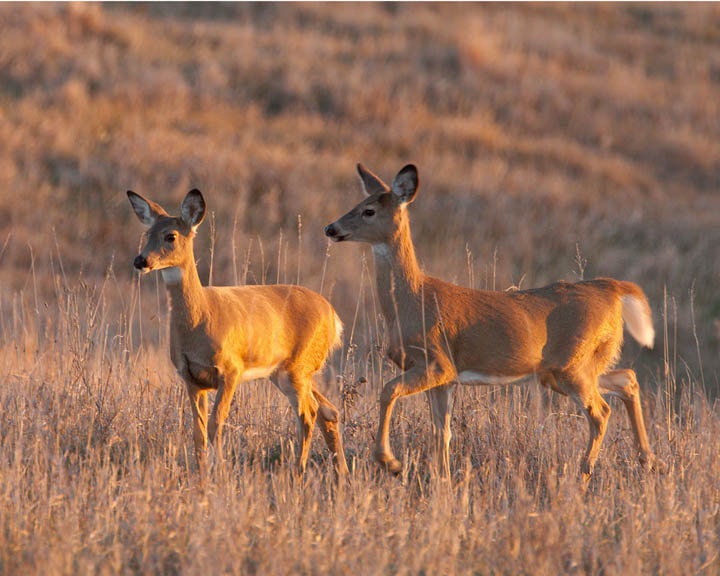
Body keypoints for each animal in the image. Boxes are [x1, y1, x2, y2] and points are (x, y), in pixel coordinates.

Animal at [129, 188, 348, 476]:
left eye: (171, 236)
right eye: (146, 234)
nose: (140, 260)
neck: (200, 320)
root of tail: (333, 316)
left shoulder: (230, 370)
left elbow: (216, 423)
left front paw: (220, 471)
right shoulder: (189, 377)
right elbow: (198, 431)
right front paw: (202, 475)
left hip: (297, 368)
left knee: (308, 414)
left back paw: (298, 472)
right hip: (289, 372)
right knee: (328, 410)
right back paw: (342, 474)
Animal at [326, 163, 660, 482]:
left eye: (369, 210)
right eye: (358, 203)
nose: (331, 228)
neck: (413, 300)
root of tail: (613, 288)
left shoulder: (437, 362)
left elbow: (388, 391)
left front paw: (390, 462)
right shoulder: (445, 379)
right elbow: (442, 432)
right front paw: (443, 481)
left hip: (571, 365)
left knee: (600, 411)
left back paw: (584, 472)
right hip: (570, 368)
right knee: (627, 379)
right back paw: (647, 459)